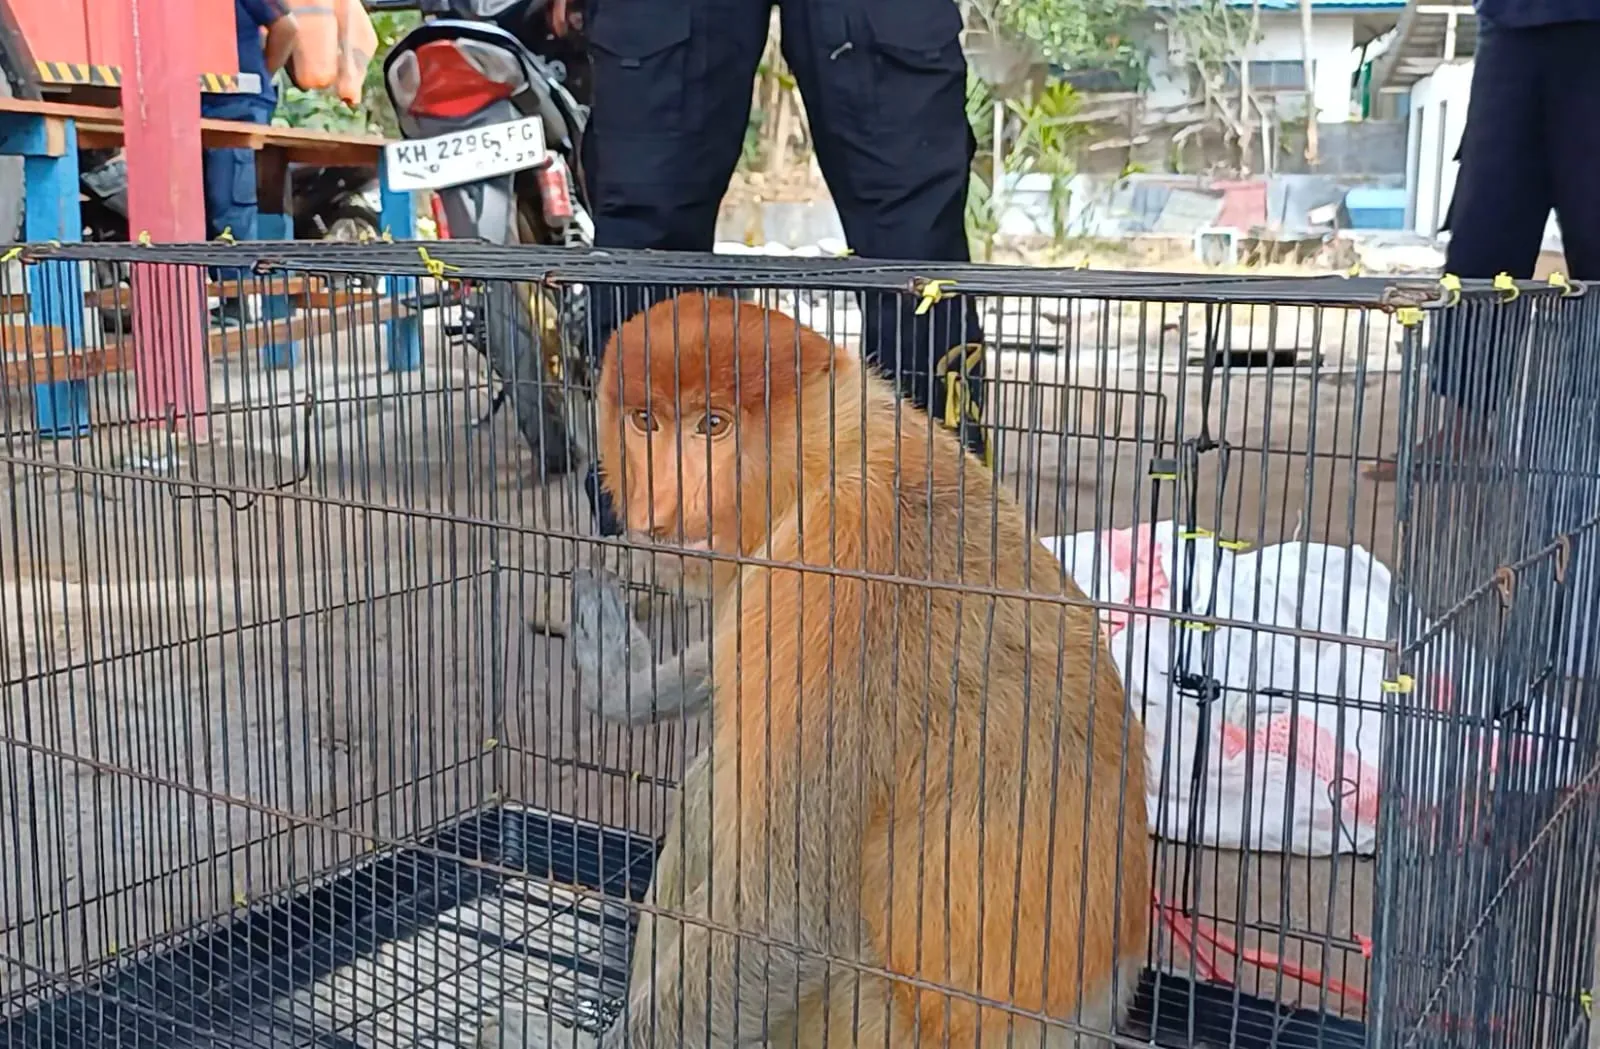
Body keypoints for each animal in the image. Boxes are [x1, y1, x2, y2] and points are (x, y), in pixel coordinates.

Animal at [476, 291, 1152, 1049]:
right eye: (645, 420)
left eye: (713, 425)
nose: (663, 507)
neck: (830, 457)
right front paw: (621, 681)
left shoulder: (839, 558)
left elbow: (782, 919)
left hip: (863, 1021)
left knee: (718, 795)